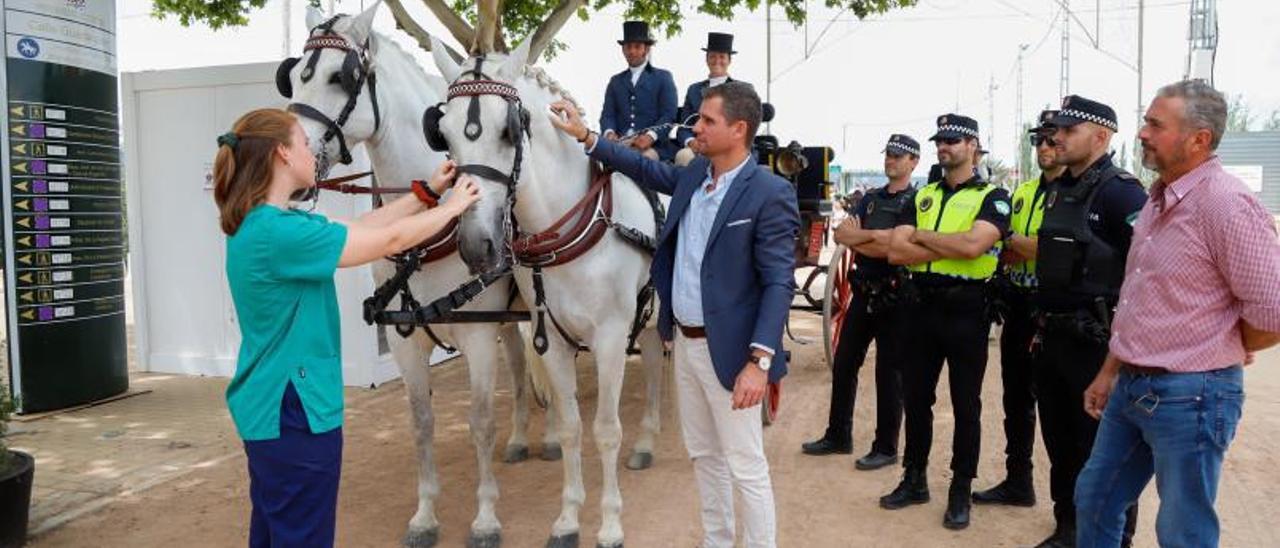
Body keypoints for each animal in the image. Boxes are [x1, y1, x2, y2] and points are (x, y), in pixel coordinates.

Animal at [282, 3, 558, 542]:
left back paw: (554, 434)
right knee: (520, 365)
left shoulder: (476, 335)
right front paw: (426, 514)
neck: (427, 237)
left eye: (340, 77)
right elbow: (422, 421)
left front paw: (485, 517)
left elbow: (479, 421)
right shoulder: (405, 340)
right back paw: (520, 438)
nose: (294, 156)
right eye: (294, 75)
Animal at [430, 36, 670, 545]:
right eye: (443, 133)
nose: (476, 244)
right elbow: (572, 427)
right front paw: (568, 518)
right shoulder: (553, 340)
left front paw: (610, 523)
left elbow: (606, 430)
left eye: (508, 130)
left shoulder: (610, 337)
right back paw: (646, 441)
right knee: (656, 361)